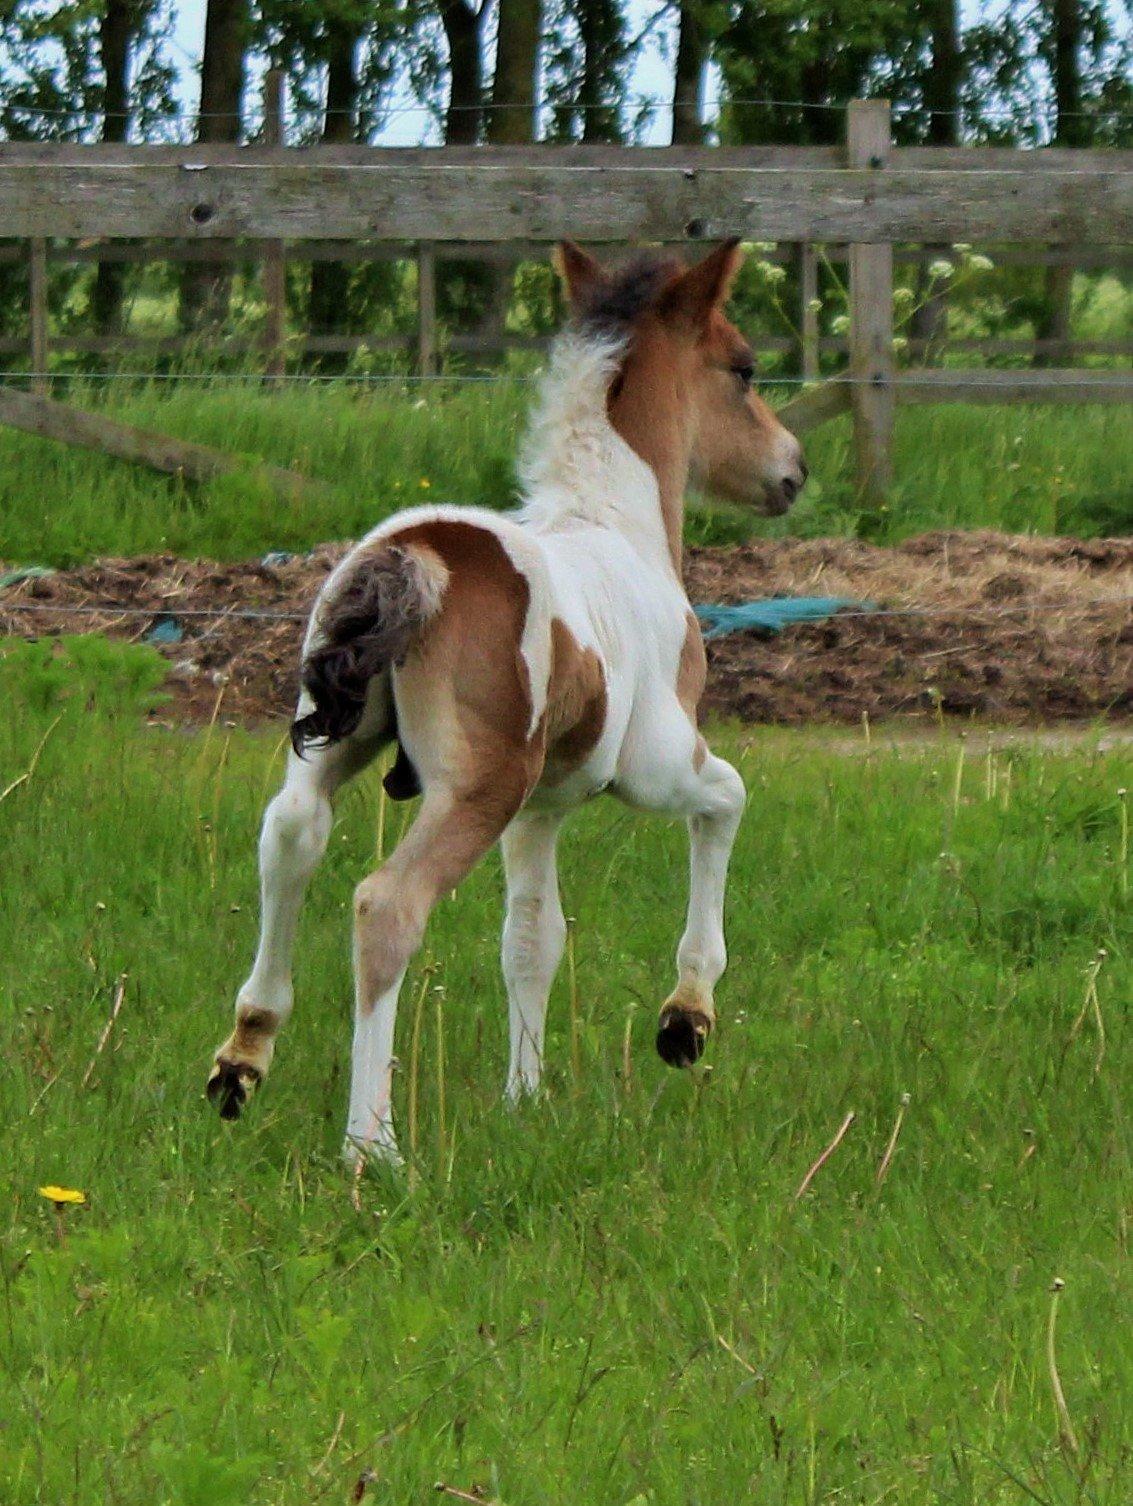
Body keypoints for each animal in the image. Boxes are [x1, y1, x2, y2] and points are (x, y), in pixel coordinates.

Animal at [206, 237, 807, 1162]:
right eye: (743, 369)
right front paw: (684, 1020)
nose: (792, 468)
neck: (618, 526)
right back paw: (370, 1145)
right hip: (475, 788)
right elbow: (730, 798)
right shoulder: (658, 767)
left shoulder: (540, 808)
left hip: (336, 747)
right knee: (385, 905)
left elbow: (531, 937)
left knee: (290, 835)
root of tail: (411, 560)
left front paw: (524, 1101)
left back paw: (242, 1061)